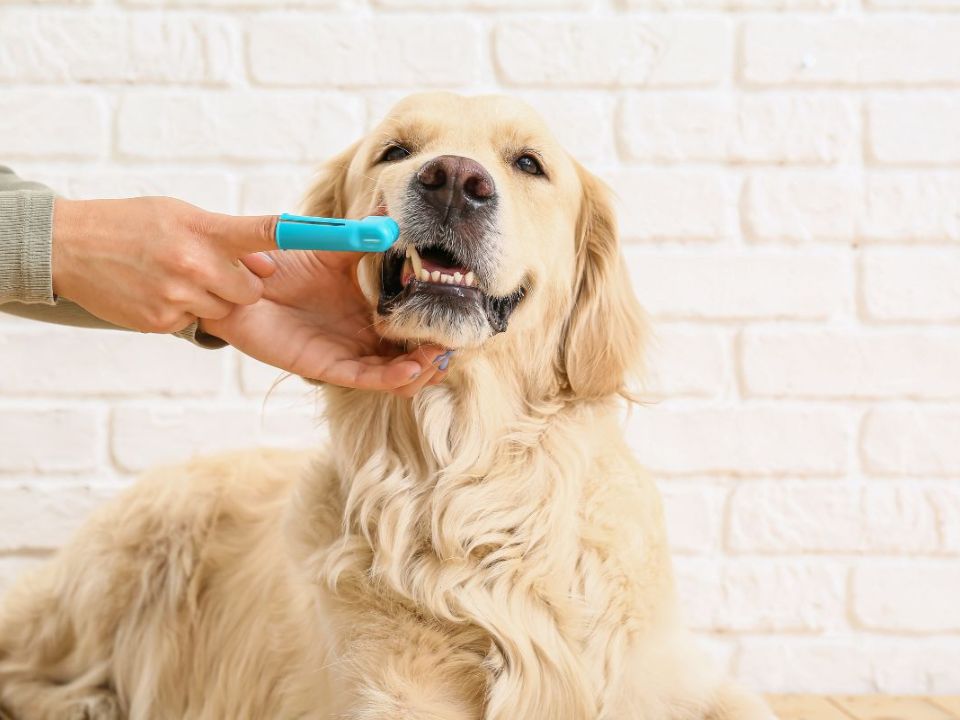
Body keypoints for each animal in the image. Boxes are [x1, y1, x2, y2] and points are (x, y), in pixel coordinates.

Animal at [0, 94, 768, 720]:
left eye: (529, 163)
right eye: (396, 151)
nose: (453, 179)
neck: (473, 477)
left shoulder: (670, 677)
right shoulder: (390, 696)